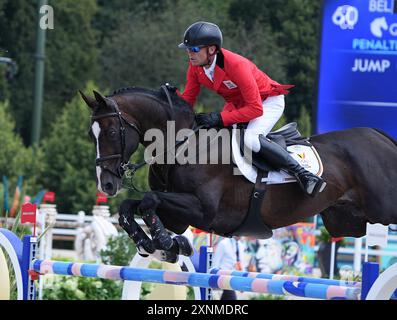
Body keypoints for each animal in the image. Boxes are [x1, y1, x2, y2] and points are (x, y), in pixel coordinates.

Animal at [80, 86, 396, 262]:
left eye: (111, 132)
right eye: (90, 134)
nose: (106, 184)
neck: (181, 144)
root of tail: (380, 137)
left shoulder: (203, 210)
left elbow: (148, 200)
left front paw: (166, 244)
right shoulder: (177, 216)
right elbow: (132, 206)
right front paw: (155, 245)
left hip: (383, 211)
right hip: (348, 222)